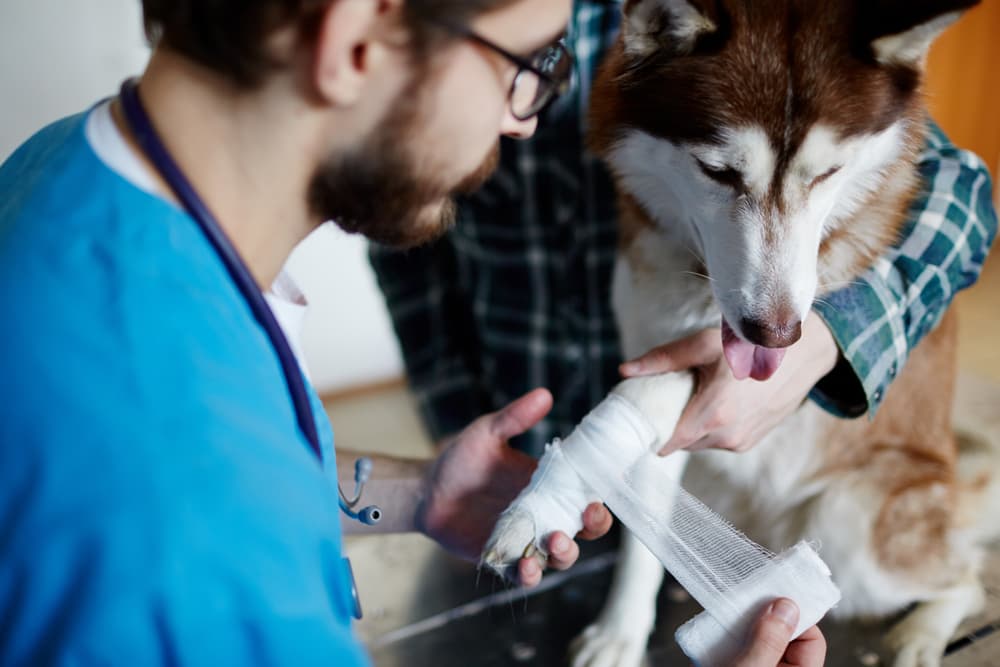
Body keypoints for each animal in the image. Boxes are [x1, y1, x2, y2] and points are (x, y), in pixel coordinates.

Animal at [482, 1, 992, 667]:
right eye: (717, 171)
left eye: (828, 173)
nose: (777, 336)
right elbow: (644, 523)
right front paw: (621, 630)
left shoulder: (712, 370)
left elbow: (640, 395)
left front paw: (534, 510)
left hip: (848, 528)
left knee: (971, 574)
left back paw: (921, 634)